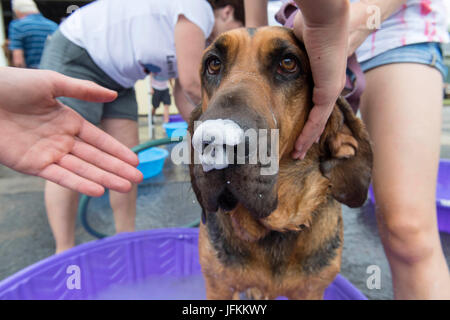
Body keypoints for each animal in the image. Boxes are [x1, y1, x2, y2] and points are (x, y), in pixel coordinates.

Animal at [187, 27, 372, 300]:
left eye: (288, 63)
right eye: (214, 64)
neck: (273, 226)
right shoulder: (218, 285)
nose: (216, 140)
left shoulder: (311, 290)